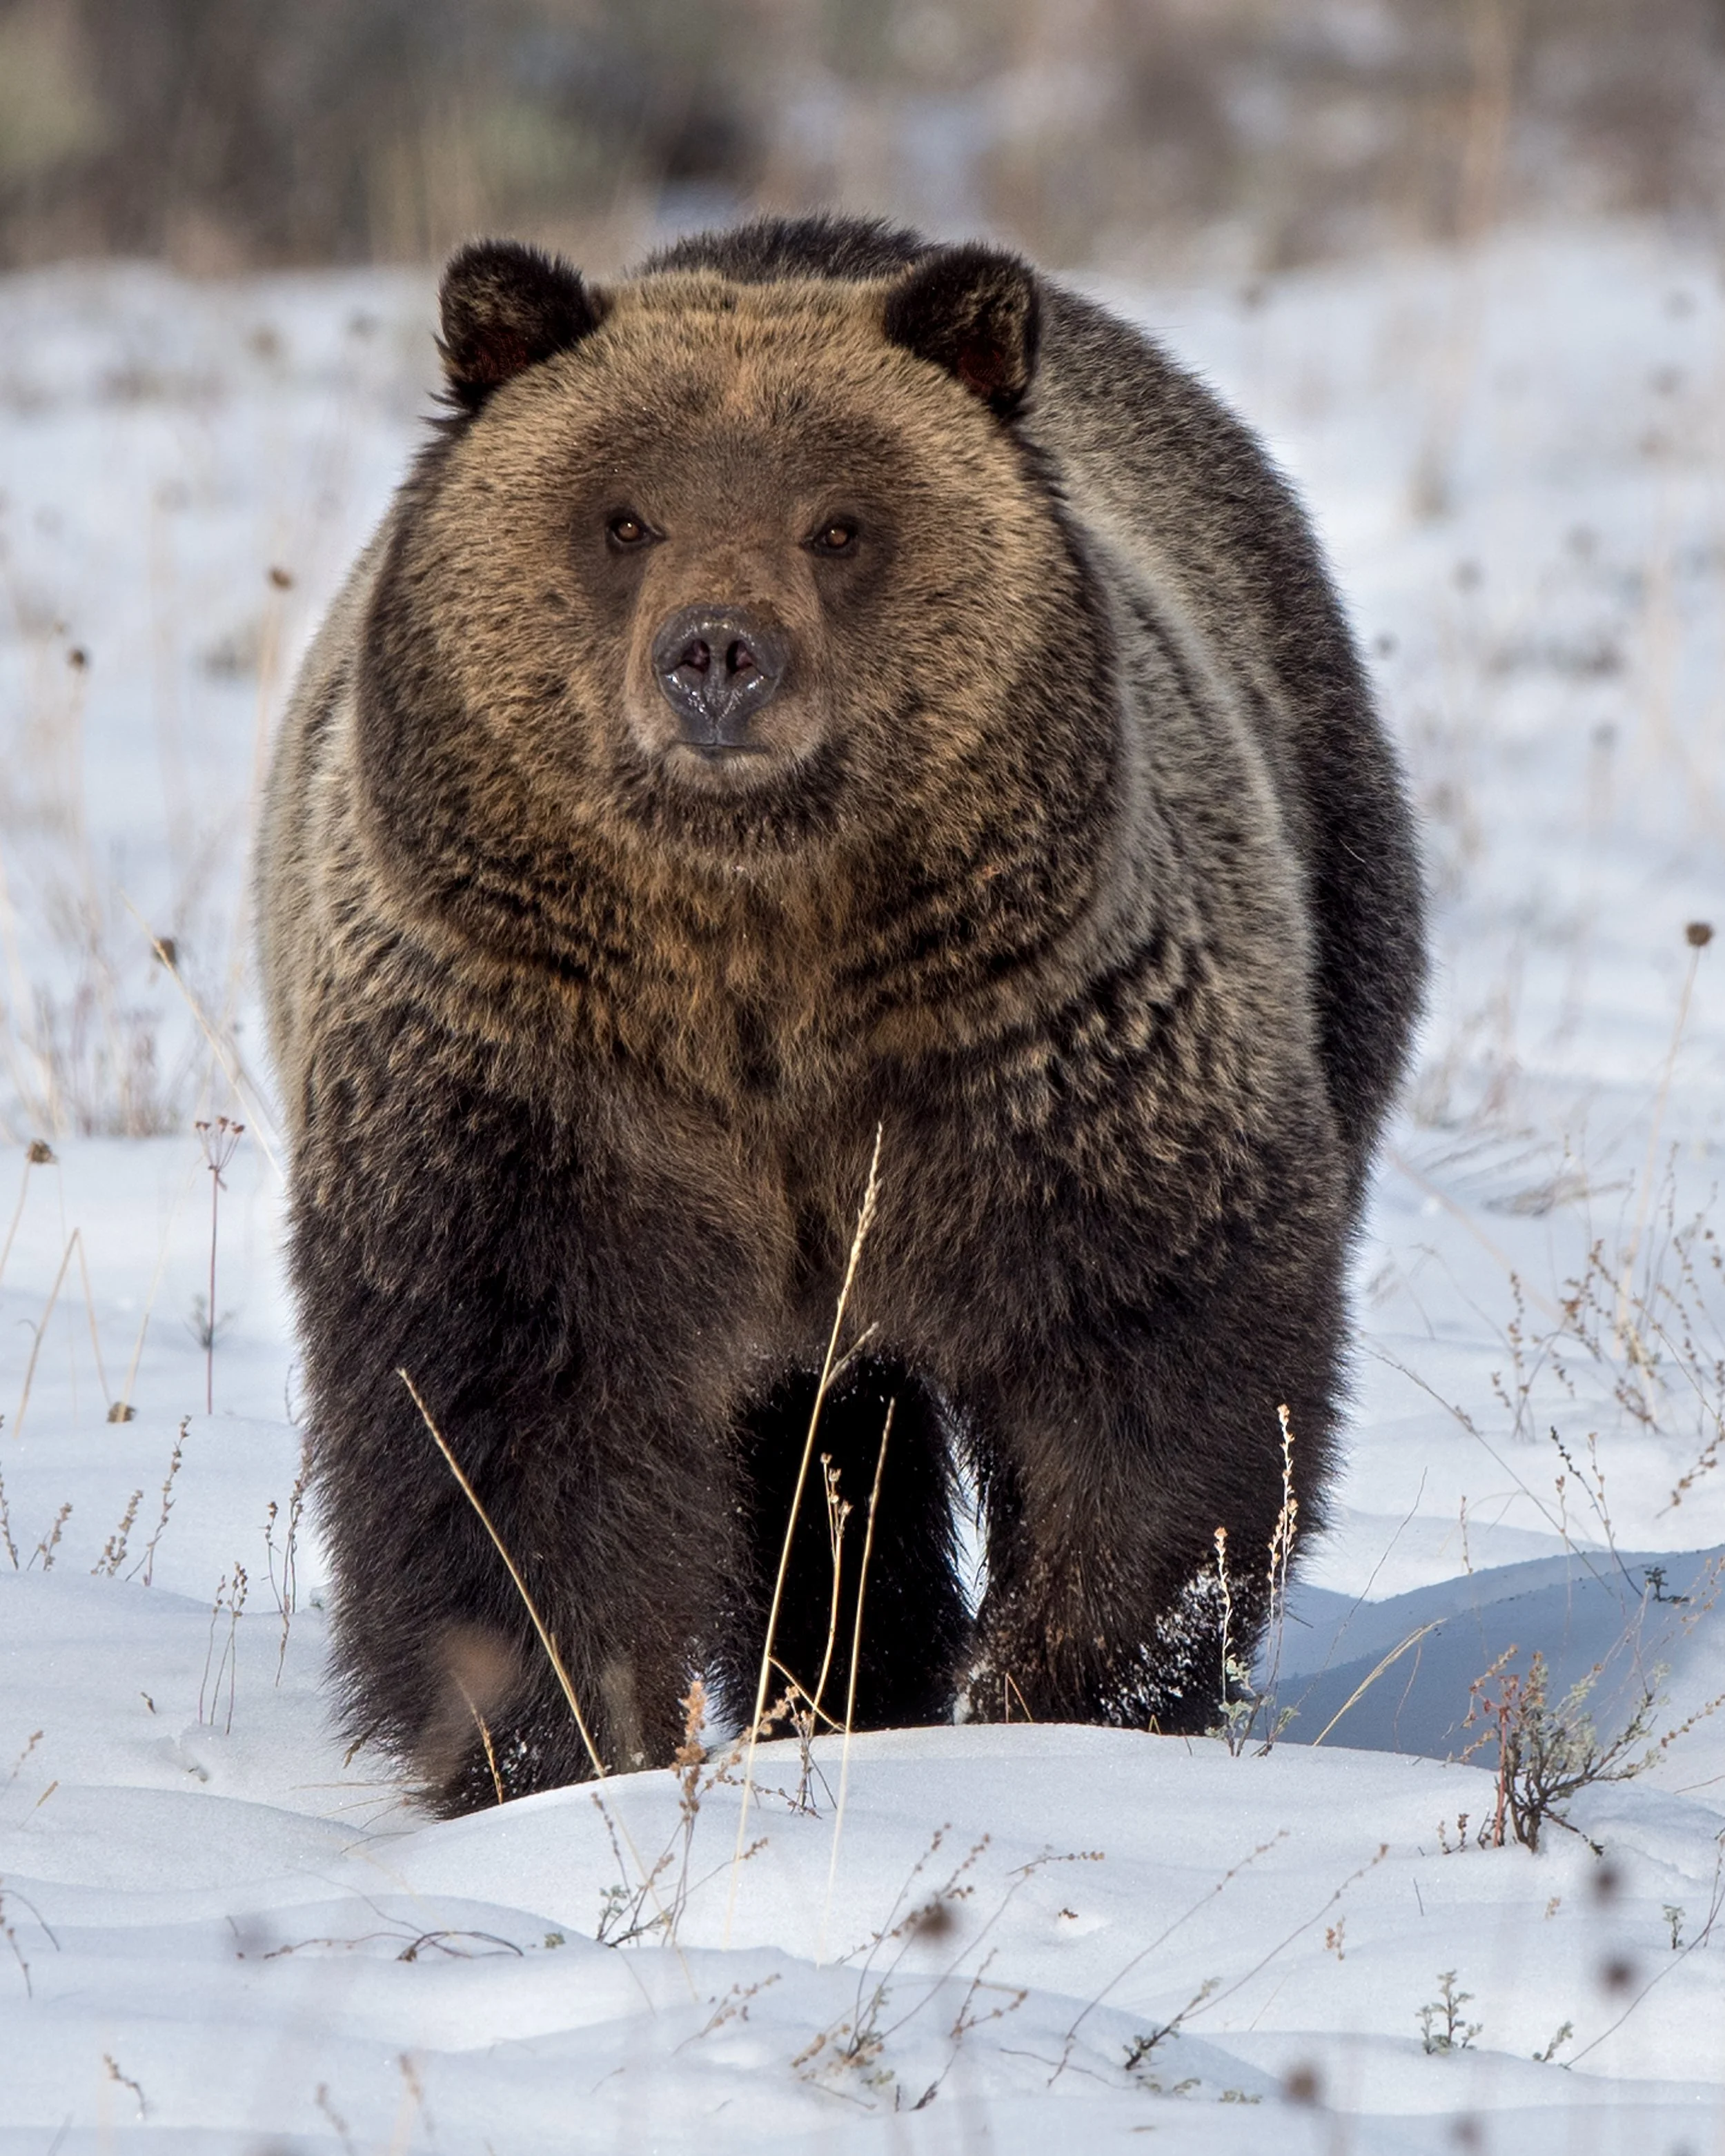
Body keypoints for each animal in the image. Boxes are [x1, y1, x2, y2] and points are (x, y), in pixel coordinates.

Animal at [258, 214, 1424, 1814]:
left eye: (838, 526)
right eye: (624, 519)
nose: (717, 654)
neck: (764, 960)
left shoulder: (1036, 1050)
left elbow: (1149, 1365)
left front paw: (1066, 1699)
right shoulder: (529, 1071)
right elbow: (511, 1417)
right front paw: (563, 1746)